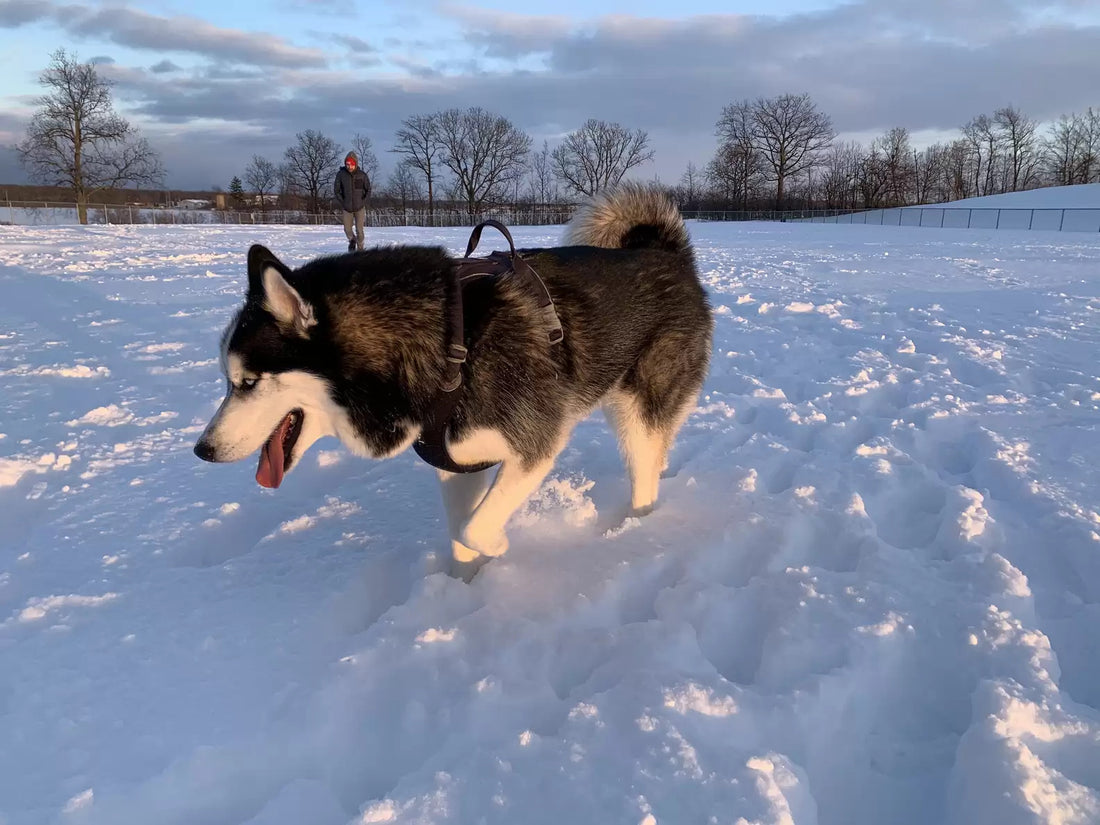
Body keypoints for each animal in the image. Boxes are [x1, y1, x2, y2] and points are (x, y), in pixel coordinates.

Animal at [195, 185, 712, 576]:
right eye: (227, 380)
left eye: (247, 382)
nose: (202, 450)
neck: (447, 346)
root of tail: (665, 255)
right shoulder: (457, 462)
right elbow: (461, 537)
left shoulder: (534, 445)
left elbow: (474, 528)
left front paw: (499, 546)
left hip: (639, 410)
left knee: (644, 474)